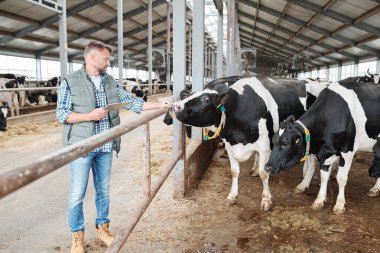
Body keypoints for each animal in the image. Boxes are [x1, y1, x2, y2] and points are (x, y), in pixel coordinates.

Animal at [169, 75, 326, 210]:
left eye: (206, 99)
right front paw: (232, 196)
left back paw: (304, 184)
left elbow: (264, 173)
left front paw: (266, 200)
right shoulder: (230, 146)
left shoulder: (264, 148)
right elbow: (234, 171)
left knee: (313, 161)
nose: (174, 107)